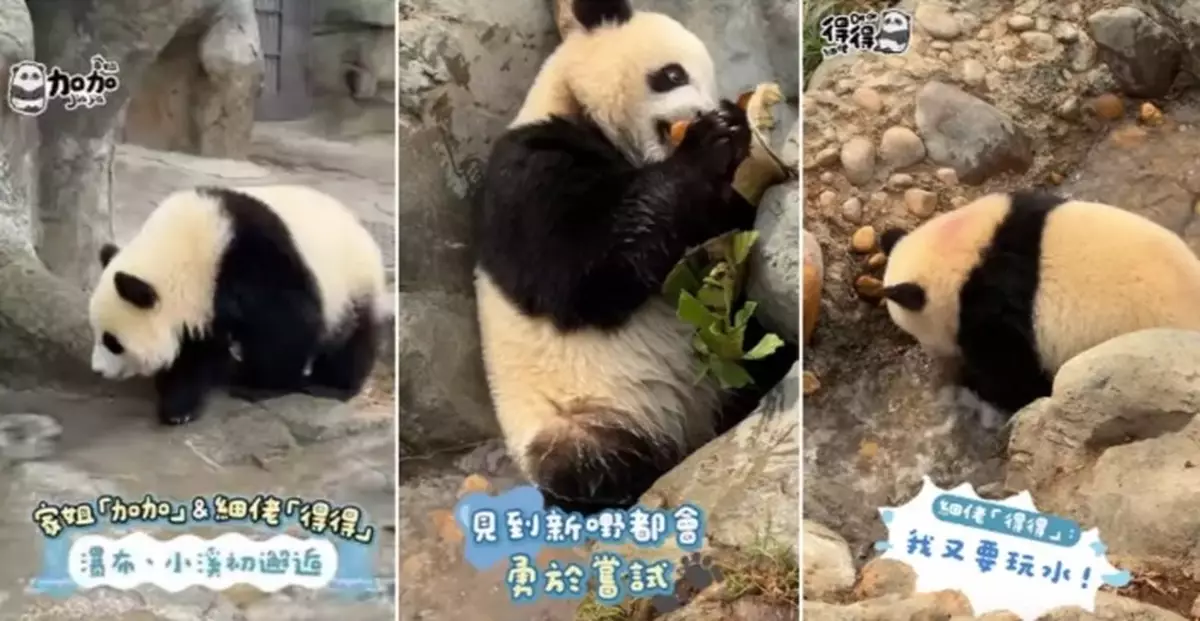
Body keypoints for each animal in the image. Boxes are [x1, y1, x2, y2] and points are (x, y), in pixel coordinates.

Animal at [88, 185, 388, 425]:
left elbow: (287, 324)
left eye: (113, 341)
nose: (97, 370)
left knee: (352, 339)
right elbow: (199, 348)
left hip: (352, 284)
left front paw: (262, 386)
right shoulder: (204, 300)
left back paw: (331, 386)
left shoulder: (253, 263)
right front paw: (178, 401)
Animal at [472, 0, 797, 514]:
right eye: (672, 74)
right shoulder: (528, 167)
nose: (703, 112)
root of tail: (689, 428)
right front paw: (714, 140)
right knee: (585, 460)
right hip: (582, 409)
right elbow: (580, 272)